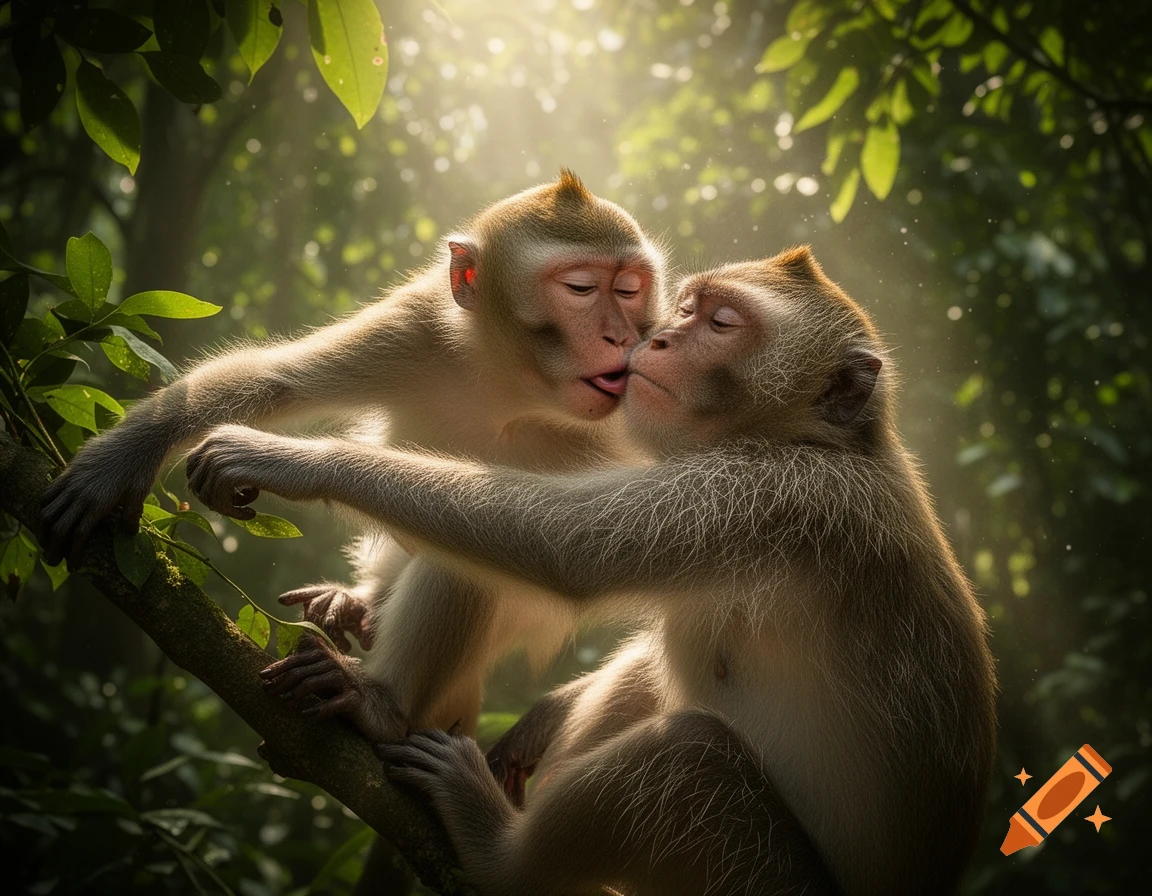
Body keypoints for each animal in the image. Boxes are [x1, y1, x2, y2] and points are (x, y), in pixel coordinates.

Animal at [38, 170, 665, 744]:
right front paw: (116, 460)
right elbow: (278, 379)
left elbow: (578, 541)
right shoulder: (418, 324)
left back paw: (381, 705)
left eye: (629, 289)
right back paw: (363, 604)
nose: (620, 336)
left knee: (474, 556)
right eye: (581, 288)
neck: (514, 385)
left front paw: (276, 459)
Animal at [183, 246, 997, 895]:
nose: (659, 337)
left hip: (768, 883)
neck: (818, 440)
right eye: (689, 308)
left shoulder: (777, 497)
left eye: (722, 324)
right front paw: (546, 716)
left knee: (690, 760)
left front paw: (289, 458)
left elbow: (560, 549)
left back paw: (497, 850)